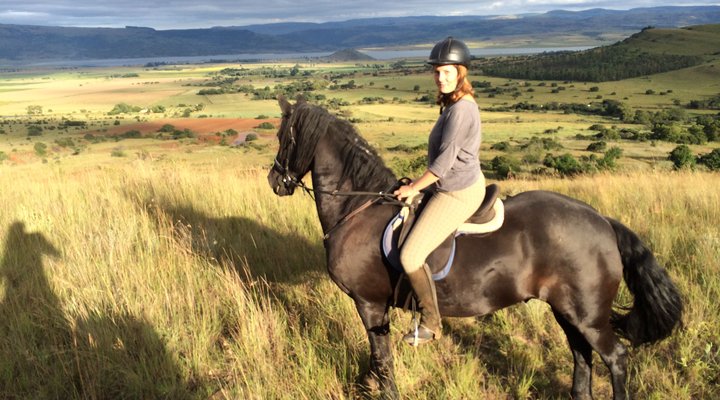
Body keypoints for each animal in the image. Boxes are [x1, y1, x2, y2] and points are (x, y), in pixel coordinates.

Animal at [266, 95, 683, 400]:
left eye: (283, 137)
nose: (275, 181)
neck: (359, 208)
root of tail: (602, 221)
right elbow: (380, 360)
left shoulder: (369, 303)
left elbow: (381, 360)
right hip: (567, 310)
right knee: (581, 355)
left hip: (589, 316)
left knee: (615, 358)